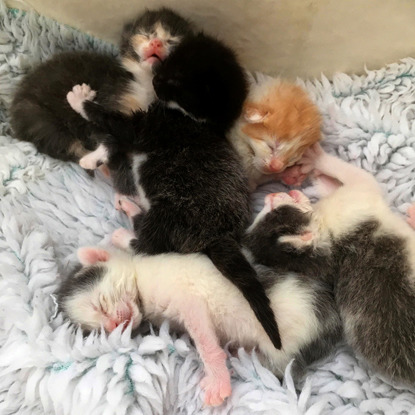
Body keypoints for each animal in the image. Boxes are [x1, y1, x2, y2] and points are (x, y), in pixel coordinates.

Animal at [9, 6, 195, 166]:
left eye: (172, 41)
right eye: (146, 34)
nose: (156, 43)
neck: (144, 81)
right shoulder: (112, 99)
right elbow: (107, 131)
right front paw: (95, 158)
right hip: (40, 120)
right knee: (65, 143)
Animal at [58, 242, 342, 408]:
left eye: (99, 304)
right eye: (100, 329)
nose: (115, 323)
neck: (141, 286)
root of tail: (333, 322)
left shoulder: (189, 300)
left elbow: (205, 340)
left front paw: (218, 381)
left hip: (286, 346)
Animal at [66, 33, 284, 352]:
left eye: (174, 80)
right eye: (167, 64)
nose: (156, 77)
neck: (195, 119)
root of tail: (220, 234)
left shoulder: (149, 127)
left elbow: (114, 122)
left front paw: (80, 99)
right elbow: (114, 142)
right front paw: (94, 157)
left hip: (173, 210)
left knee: (149, 244)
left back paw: (124, 228)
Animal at [245, 145, 415, 386]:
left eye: (270, 212)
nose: (272, 195)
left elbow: (334, 186)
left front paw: (318, 178)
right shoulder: (357, 197)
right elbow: (354, 175)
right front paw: (318, 160)